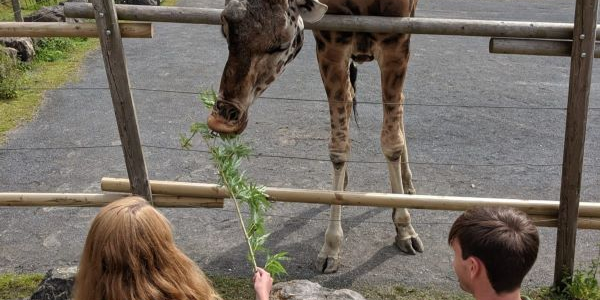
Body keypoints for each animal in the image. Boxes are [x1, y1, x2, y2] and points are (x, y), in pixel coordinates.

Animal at [209, 0, 424, 274]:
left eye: (282, 44)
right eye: (225, 31)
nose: (225, 117)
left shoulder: (396, 42)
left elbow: (391, 142)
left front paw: (405, 229)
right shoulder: (330, 44)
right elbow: (339, 146)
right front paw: (331, 247)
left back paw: (407, 184)